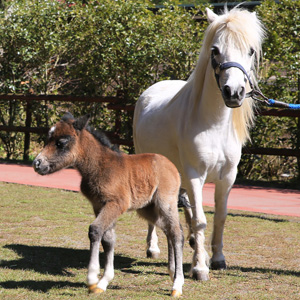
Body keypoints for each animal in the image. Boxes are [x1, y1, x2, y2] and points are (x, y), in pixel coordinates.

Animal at [32, 113, 183, 298]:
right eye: (47, 139)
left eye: (61, 142)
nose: (37, 163)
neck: (100, 166)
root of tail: (172, 165)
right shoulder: (98, 205)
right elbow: (108, 238)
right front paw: (103, 282)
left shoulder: (116, 204)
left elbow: (95, 229)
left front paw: (92, 279)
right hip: (147, 208)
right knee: (169, 230)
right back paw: (172, 272)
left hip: (165, 202)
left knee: (176, 233)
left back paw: (177, 285)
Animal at [134, 7, 264, 282]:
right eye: (215, 50)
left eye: (250, 50)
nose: (234, 92)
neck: (213, 124)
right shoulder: (195, 175)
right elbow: (201, 219)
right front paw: (199, 268)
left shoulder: (227, 177)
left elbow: (219, 217)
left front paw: (216, 259)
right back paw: (153, 247)